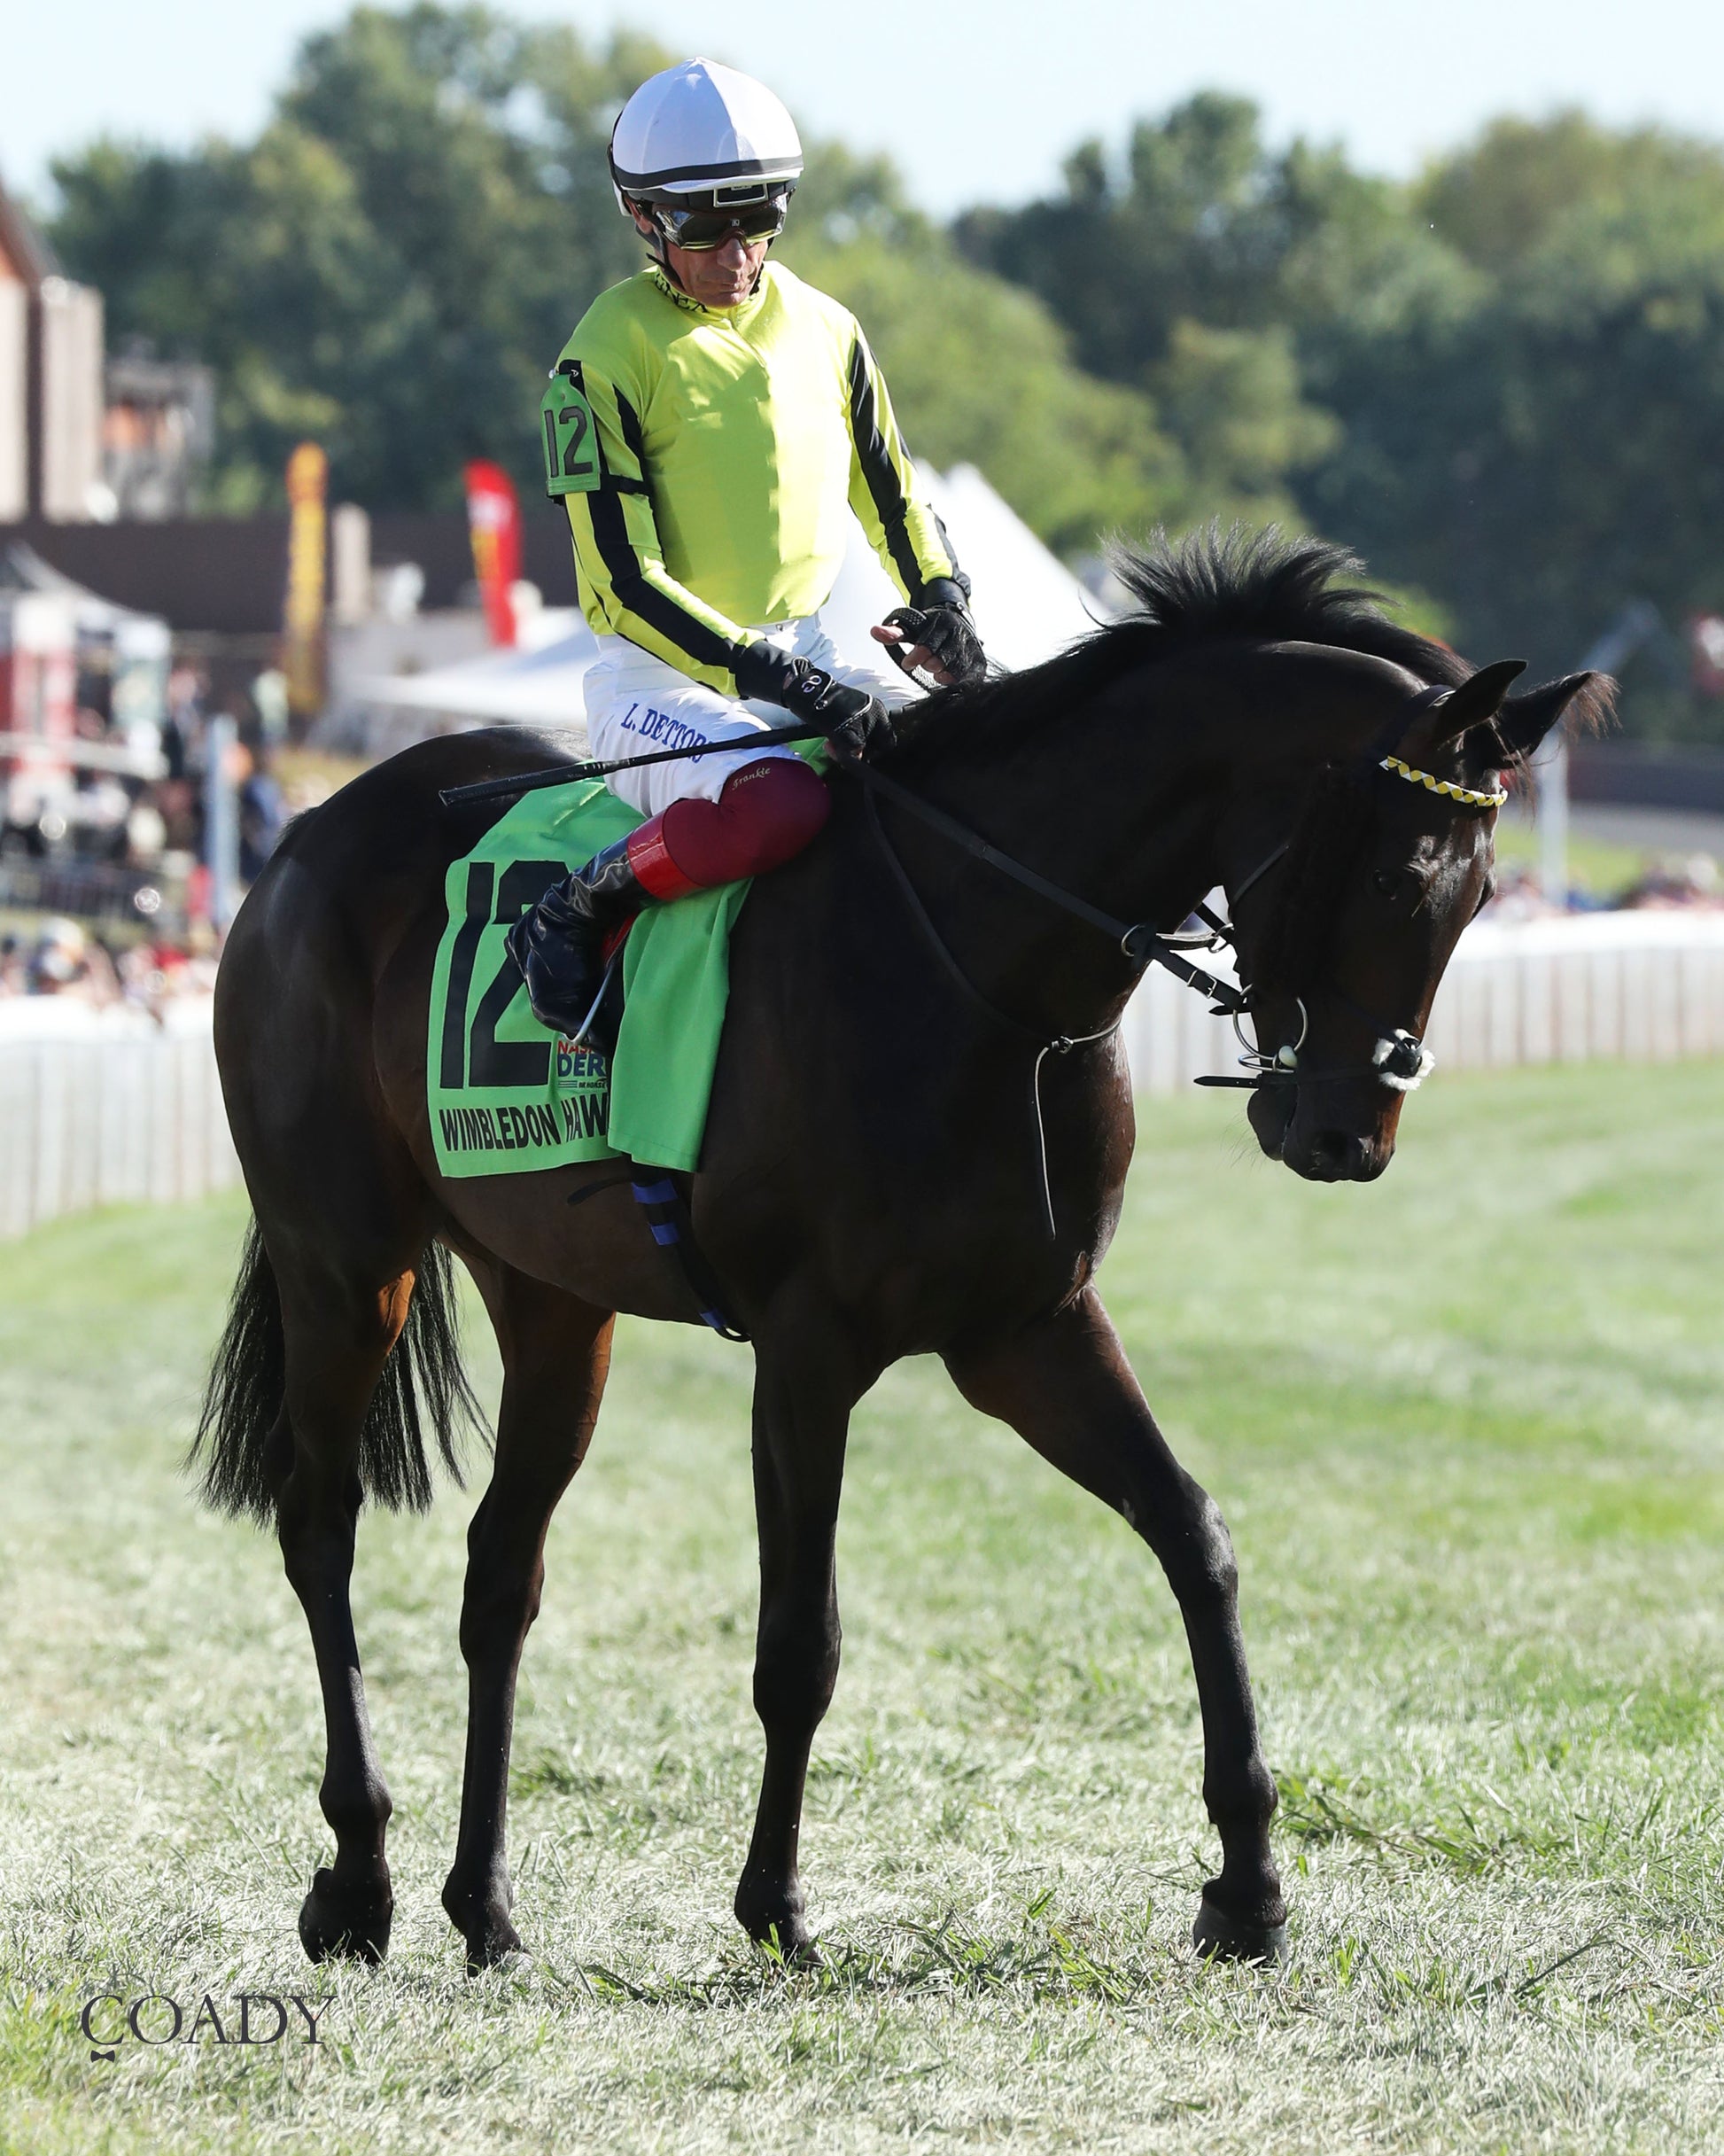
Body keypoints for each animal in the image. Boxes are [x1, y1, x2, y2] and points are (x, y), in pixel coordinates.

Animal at [192, 530, 1606, 1973]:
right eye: (1391, 877)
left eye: (1478, 898)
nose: (1343, 1130)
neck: (983, 964)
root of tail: (308, 833)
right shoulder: (807, 1351)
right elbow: (798, 1644)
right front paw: (775, 1905)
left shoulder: (1028, 1327)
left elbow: (1193, 1536)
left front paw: (1249, 1885)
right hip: (344, 1261)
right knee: (319, 1525)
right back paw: (356, 1874)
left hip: (552, 1301)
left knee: (499, 1573)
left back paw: (484, 1904)